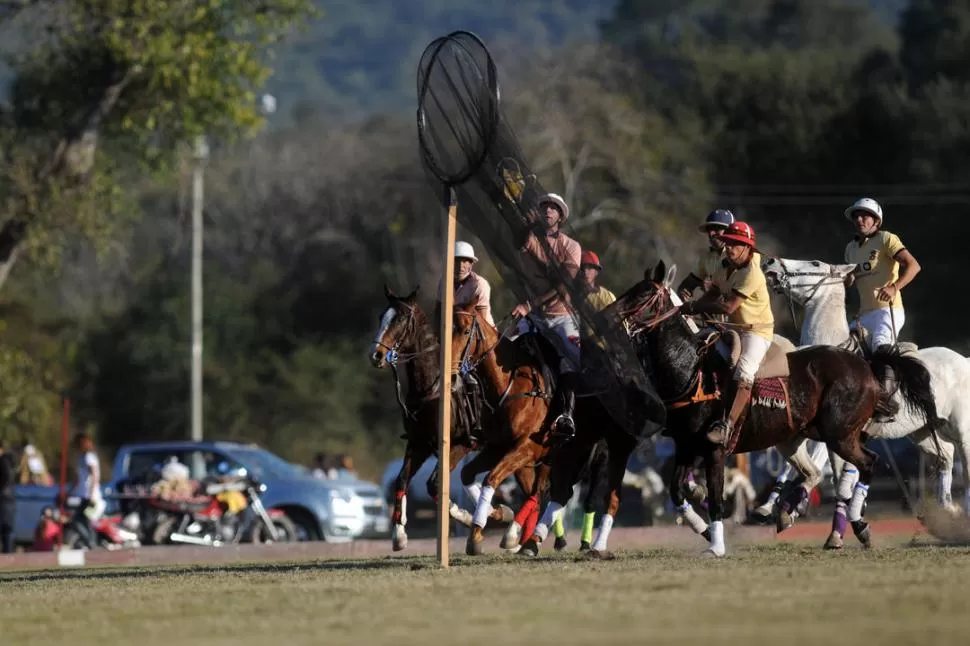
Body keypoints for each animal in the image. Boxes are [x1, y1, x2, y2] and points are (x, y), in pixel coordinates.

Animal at [604, 262, 936, 556]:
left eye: (645, 295)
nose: (608, 318)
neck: (691, 370)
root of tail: (866, 365)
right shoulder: (686, 446)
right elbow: (676, 491)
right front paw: (704, 530)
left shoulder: (715, 450)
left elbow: (716, 499)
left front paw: (716, 546)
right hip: (806, 435)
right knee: (825, 471)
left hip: (839, 434)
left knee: (867, 463)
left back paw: (857, 525)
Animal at [760, 256, 964, 548]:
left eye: (815, 263)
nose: (771, 262)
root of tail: (963, 358)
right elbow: (817, 472)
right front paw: (777, 508)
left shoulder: (838, 434)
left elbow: (832, 476)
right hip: (922, 431)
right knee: (945, 456)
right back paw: (947, 511)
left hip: (961, 428)